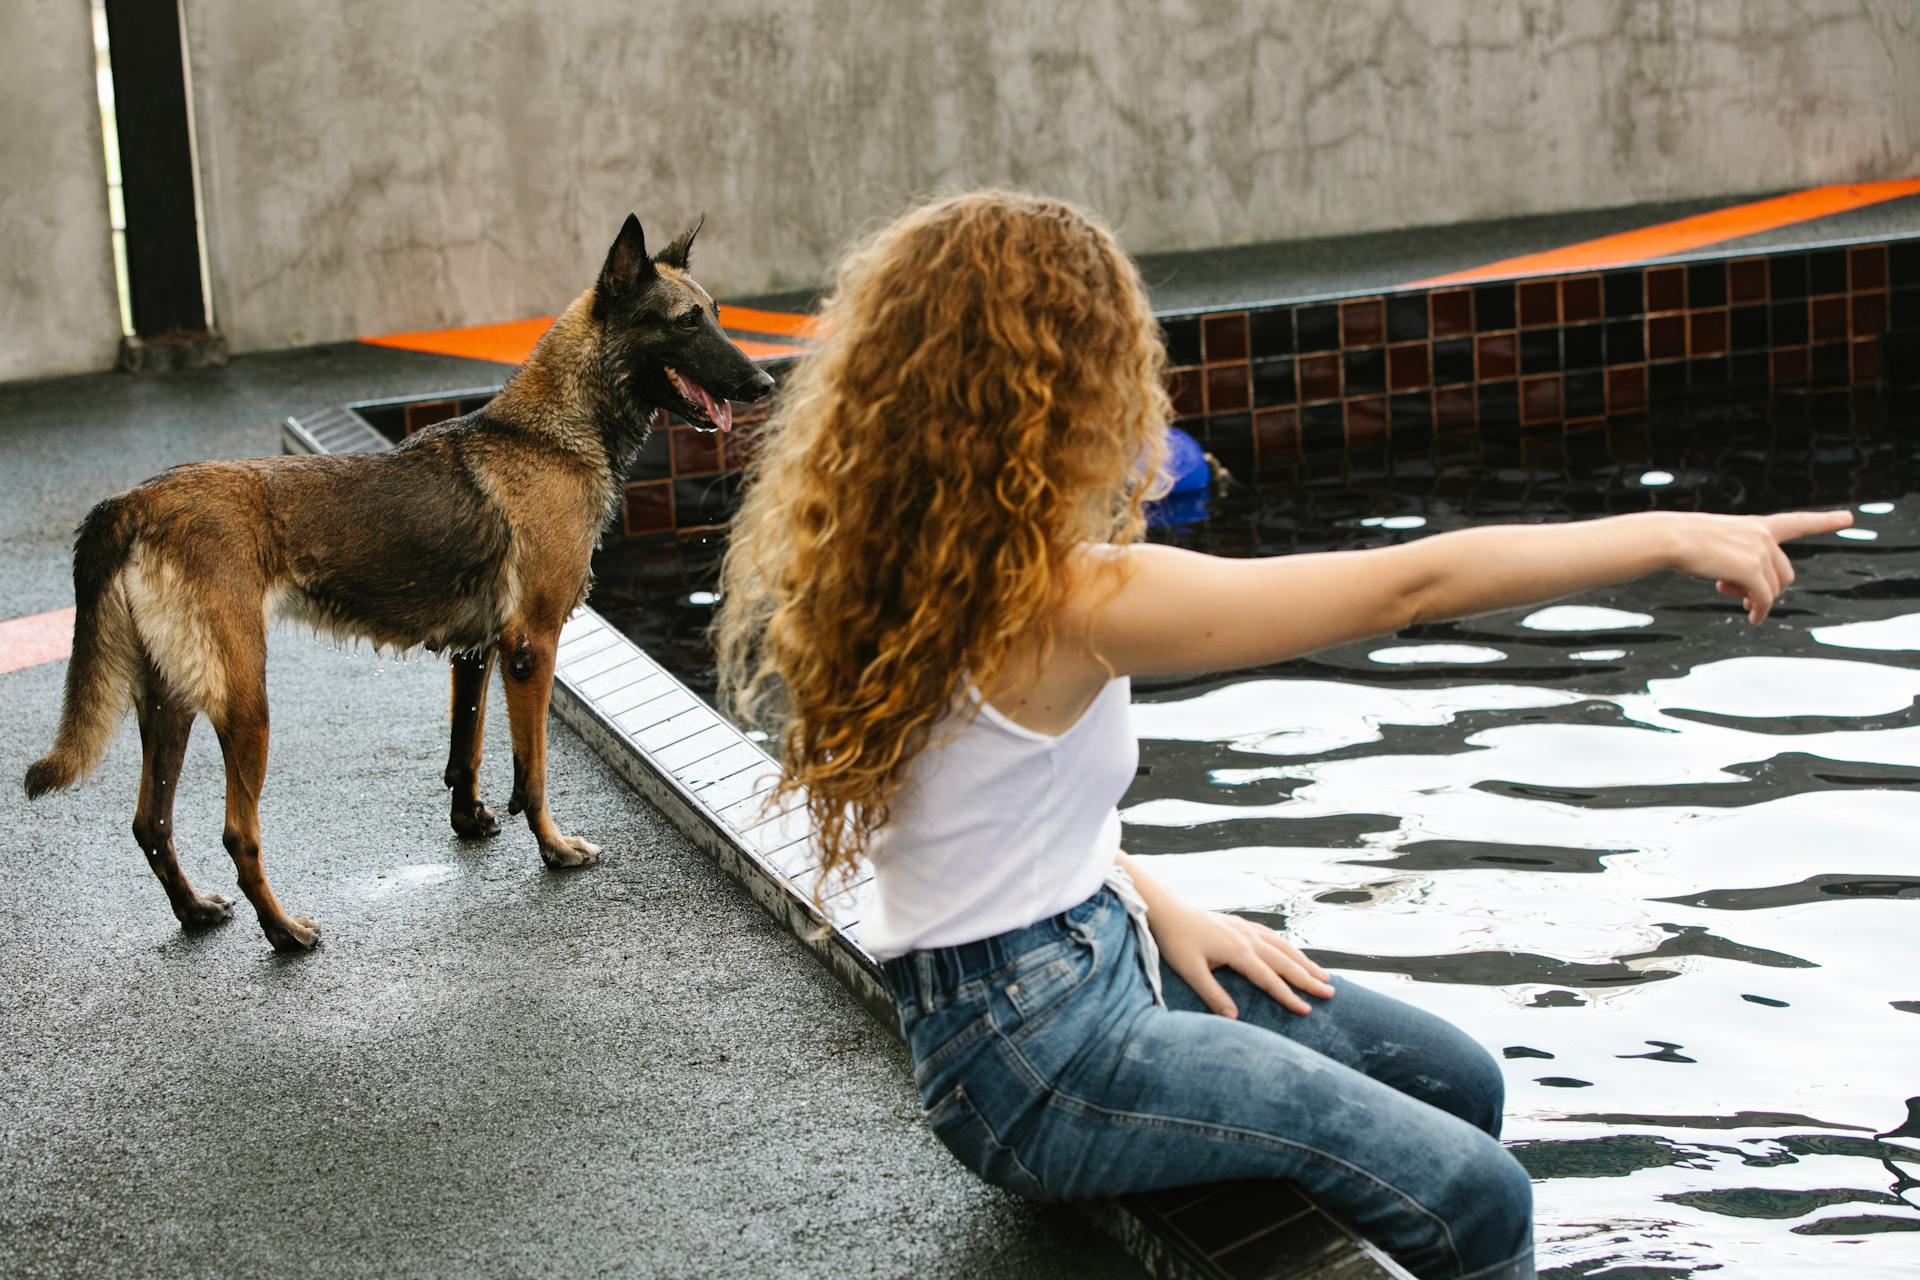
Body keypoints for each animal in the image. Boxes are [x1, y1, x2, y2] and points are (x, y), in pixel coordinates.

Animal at [26, 213, 768, 951]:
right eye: (686, 322)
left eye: (719, 315)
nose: (763, 384)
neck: (551, 432)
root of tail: (134, 502)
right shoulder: (532, 648)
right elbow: (532, 772)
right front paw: (553, 849)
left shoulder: (478, 652)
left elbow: (466, 748)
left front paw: (471, 821)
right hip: (245, 705)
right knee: (238, 834)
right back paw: (283, 931)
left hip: (171, 702)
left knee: (150, 822)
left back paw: (194, 911)